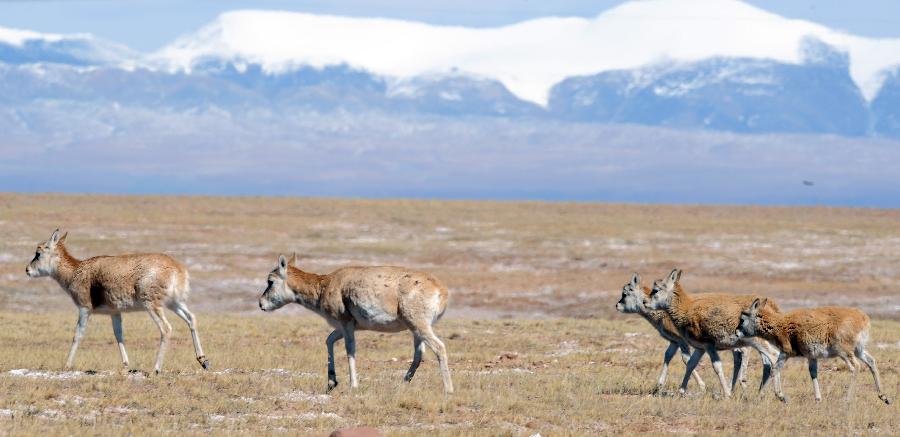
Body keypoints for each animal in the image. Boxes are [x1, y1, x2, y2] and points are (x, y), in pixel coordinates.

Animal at [25, 228, 209, 372]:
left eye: (38, 253)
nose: (27, 270)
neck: (77, 270)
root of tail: (178, 269)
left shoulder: (84, 309)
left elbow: (77, 335)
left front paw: (67, 365)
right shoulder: (115, 312)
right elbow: (119, 335)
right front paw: (126, 364)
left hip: (153, 306)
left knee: (166, 328)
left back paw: (156, 368)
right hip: (174, 303)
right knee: (191, 319)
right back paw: (203, 360)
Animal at [256, 254, 454, 394]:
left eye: (270, 281)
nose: (260, 304)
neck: (327, 284)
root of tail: (441, 290)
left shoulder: (346, 325)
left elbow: (350, 350)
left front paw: (353, 385)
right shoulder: (344, 327)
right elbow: (329, 340)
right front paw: (332, 382)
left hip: (419, 326)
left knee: (439, 347)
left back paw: (448, 390)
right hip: (415, 331)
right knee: (419, 354)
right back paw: (402, 384)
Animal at [616, 272, 756, 392]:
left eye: (625, 293)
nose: (617, 305)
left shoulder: (683, 342)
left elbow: (685, 359)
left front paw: (701, 385)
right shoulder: (674, 342)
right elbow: (668, 356)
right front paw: (659, 384)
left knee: (745, 351)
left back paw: (741, 383)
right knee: (738, 356)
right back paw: (732, 387)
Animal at [644, 268, 784, 396]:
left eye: (655, 290)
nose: (645, 302)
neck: (687, 309)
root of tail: (770, 306)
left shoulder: (709, 346)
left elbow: (717, 367)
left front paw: (727, 394)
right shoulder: (700, 348)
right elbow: (690, 364)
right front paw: (681, 391)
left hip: (757, 342)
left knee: (773, 356)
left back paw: (779, 395)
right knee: (769, 362)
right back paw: (762, 394)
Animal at [740, 296, 892, 402]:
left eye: (742, 318)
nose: (737, 332)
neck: (780, 324)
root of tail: (863, 318)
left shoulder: (785, 353)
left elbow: (774, 369)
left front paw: (780, 396)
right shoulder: (811, 357)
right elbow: (813, 373)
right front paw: (818, 398)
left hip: (844, 352)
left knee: (855, 367)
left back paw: (847, 399)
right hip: (858, 351)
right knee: (871, 361)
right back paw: (884, 397)